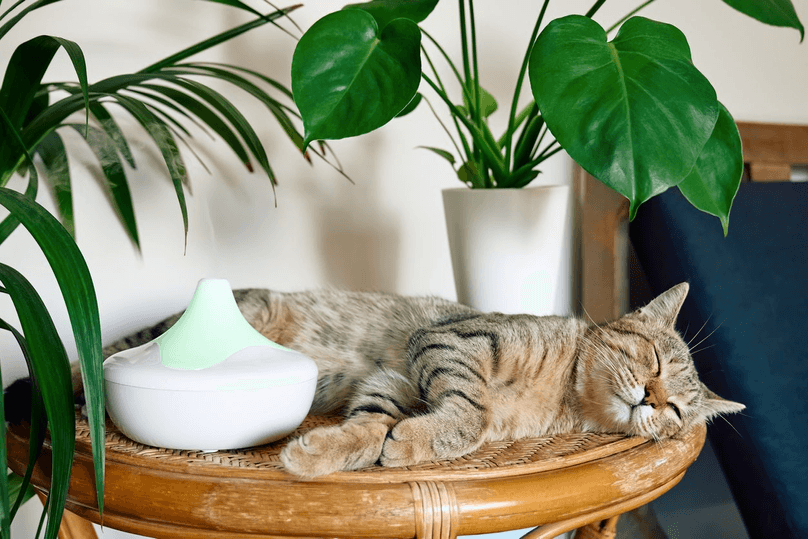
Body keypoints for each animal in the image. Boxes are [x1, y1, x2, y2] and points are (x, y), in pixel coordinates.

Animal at [12, 282, 744, 476]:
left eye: (677, 411)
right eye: (652, 362)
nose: (651, 400)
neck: (561, 389)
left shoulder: (396, 380)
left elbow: (377, 427)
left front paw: (331, 450)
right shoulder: (451, 341)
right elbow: (469, 413)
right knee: (95, 359)